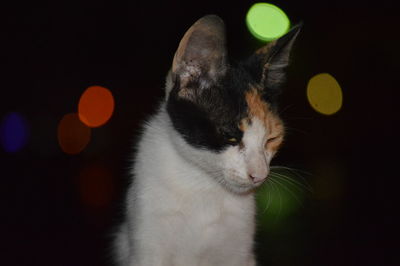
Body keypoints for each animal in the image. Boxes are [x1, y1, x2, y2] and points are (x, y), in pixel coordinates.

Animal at [112, 14, 300, 266]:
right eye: (230, 136)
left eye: (272, 138)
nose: (260, 175)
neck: (202, 183)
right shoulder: (146, 241)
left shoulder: (240, 254)